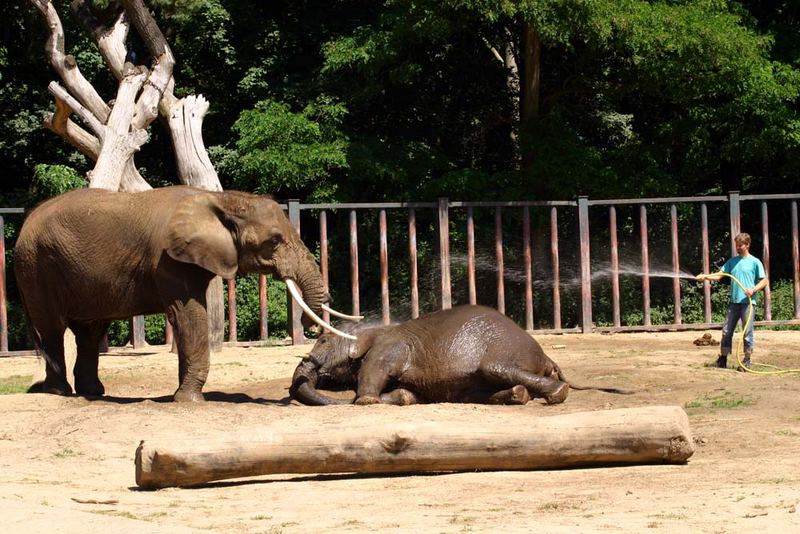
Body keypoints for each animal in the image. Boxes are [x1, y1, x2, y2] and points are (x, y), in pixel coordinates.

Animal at [14, 187, 352, 402]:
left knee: (90, 329)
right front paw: (189, 400)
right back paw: (59, 393)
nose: (310, 332)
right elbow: (189, 315)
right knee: (52, 328)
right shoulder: (169, 259)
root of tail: (26, 222)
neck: (221, 199)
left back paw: (92, 393)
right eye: (274, 240)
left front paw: (181, 395)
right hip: (37, 266)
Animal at [290, 306, 636, 406]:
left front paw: (364, 401)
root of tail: (547, 357)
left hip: (501, 353)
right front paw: (400, 397)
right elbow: (409, 395)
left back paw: (556, 394)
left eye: (323, 339)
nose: (307, 362)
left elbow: (371, 379)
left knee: (496, 368)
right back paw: (519, 396)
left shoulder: (389, 349)